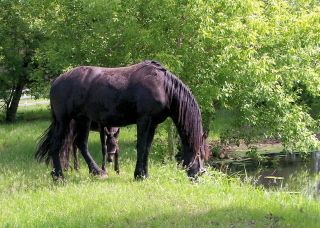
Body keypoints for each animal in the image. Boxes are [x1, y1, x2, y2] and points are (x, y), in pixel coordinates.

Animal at [35, 60, 210, 180]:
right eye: (199, 154)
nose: (199, 174)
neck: (163, 86)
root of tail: (56, 82)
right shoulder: (144, 120)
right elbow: (141, 146)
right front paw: (139, 175)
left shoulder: (152, 124)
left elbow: (147, 148)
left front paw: (144, 174)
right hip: (63, 120)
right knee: (56, 145)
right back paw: (59, 176)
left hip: (82, 120)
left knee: (81, 144)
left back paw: (96, 172)